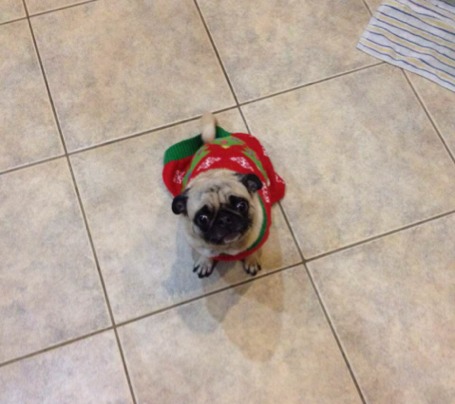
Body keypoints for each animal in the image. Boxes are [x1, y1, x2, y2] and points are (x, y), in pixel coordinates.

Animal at [163, 113, 285, 278]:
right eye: (203, 218)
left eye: (241, 205)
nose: (224, 219)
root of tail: (214, 140)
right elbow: (206, 254)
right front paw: (205, 262)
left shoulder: (258, 239)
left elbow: (252, 251)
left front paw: (251, 260)